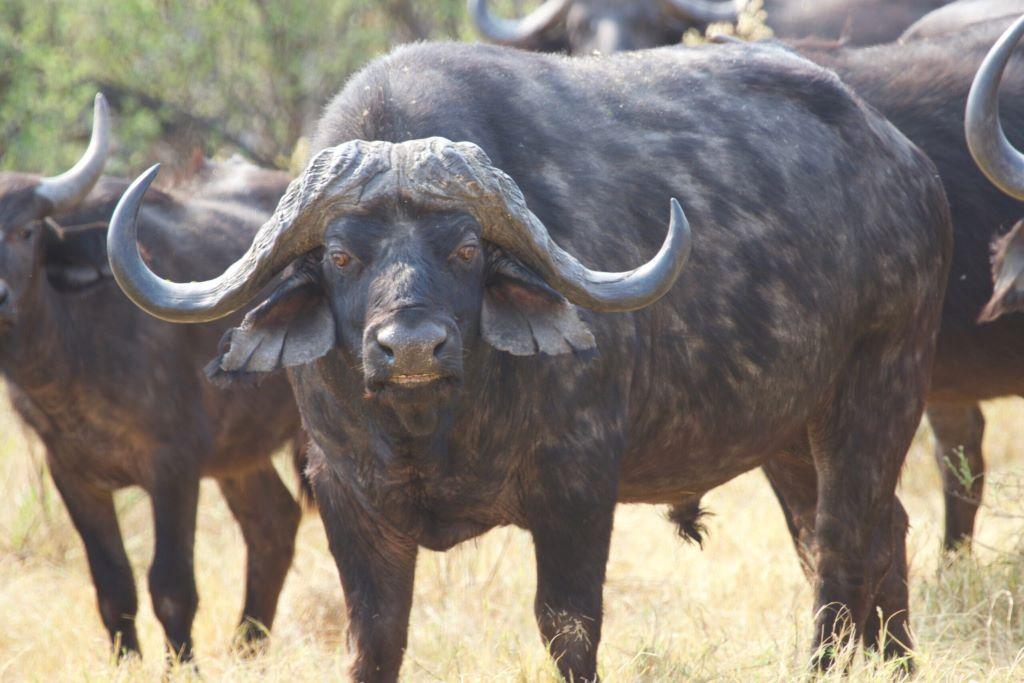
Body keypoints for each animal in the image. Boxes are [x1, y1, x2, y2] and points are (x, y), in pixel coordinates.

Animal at [0, 95, 306, 661]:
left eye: (25, 231)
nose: (0, 298)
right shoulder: (72, 475)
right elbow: (113, 587)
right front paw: (128, 662)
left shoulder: (174, 468)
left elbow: (171, 586)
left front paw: (183, 665)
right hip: (240, 455)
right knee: (274, 523)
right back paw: (247, 647)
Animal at [108, 42, 951, 680]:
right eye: (342, 254)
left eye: (465, 248)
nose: (411, 345)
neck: (433, 423)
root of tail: (906, 164)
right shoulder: (348, 494)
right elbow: (374, 638)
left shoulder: (578, 484)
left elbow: (567, 627)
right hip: (787, 431)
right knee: (874, 529)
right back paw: (901, 664)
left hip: (882, 382)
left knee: (841, 545)